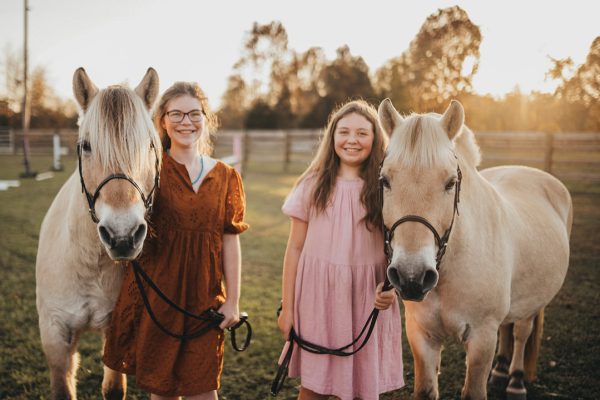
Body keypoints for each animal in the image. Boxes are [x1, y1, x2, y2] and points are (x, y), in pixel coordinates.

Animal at [35, 67, 159, 398]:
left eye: (149, 145)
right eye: (86, 146)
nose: (122, 235)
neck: (89, 263)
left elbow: (114, 389)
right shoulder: (55, 334)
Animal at [380, 97, 572, 400]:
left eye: (450, 182)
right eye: (385, 180)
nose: (412, 276)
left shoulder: (482, 338)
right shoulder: (420, 335)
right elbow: (425, 390)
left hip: (533, 301)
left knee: (521, 331)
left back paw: (516, 380)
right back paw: (501, 371)